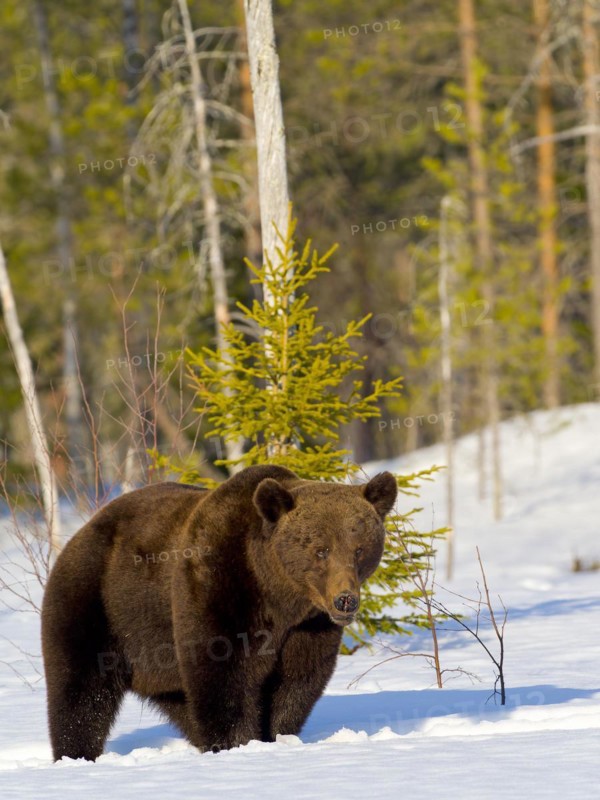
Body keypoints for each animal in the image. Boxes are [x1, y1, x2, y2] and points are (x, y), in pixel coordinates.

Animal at [41, 464, 397, 761]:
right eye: (321, 550)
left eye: (359, 549)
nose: (345, 600)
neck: (278, 595)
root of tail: (79, 533)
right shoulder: (217, 589)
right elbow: (223, 675)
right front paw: (236, 743)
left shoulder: (307, 627)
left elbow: (297, 681)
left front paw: (277, 736)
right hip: (95, 605)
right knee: (80, 694)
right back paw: (76, 755)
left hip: (159, 659)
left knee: (180, 703)